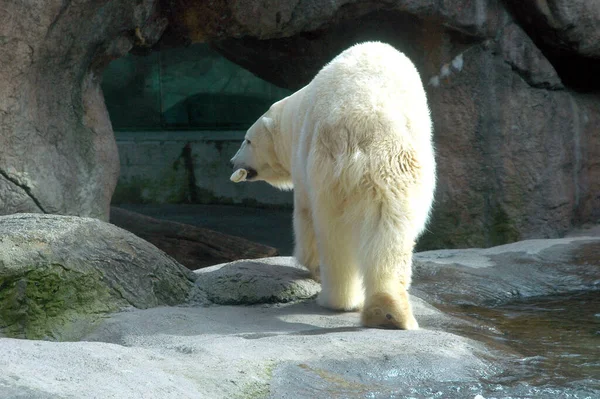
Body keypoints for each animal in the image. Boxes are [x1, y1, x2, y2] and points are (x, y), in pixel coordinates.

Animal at [231, 41, 436, 332]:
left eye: (247, 140)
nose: (233, 161)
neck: (296, 112)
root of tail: (365, 134)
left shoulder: (303, 162)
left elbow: (304, 216)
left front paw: (309, 264)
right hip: (398, 173)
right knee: (391, 234)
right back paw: (387, 312)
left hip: (329, 172)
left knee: (333, 234)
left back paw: (337, 299)